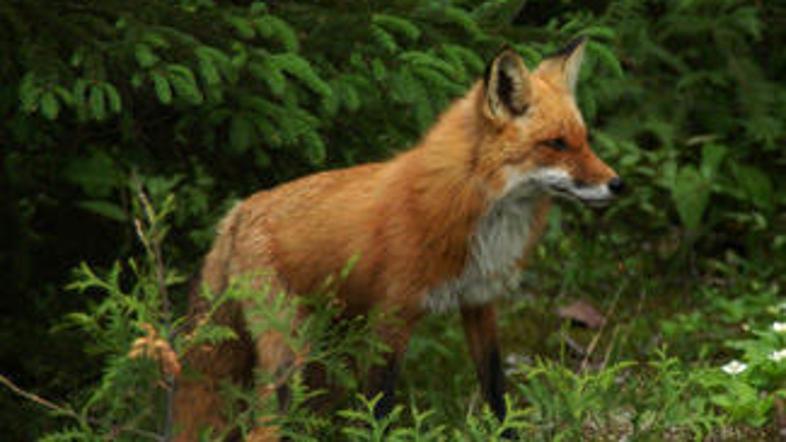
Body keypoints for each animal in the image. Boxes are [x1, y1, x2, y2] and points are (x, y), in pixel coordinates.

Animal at [172, 36, 620, 440]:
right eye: (556, 144)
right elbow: (379, 410)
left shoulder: (478, 301)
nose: (618, 184)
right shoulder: (393, 316)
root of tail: (236, 213)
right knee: (260, 429)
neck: (476, 207)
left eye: (584, 140)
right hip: (291, 354)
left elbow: (497, 394)